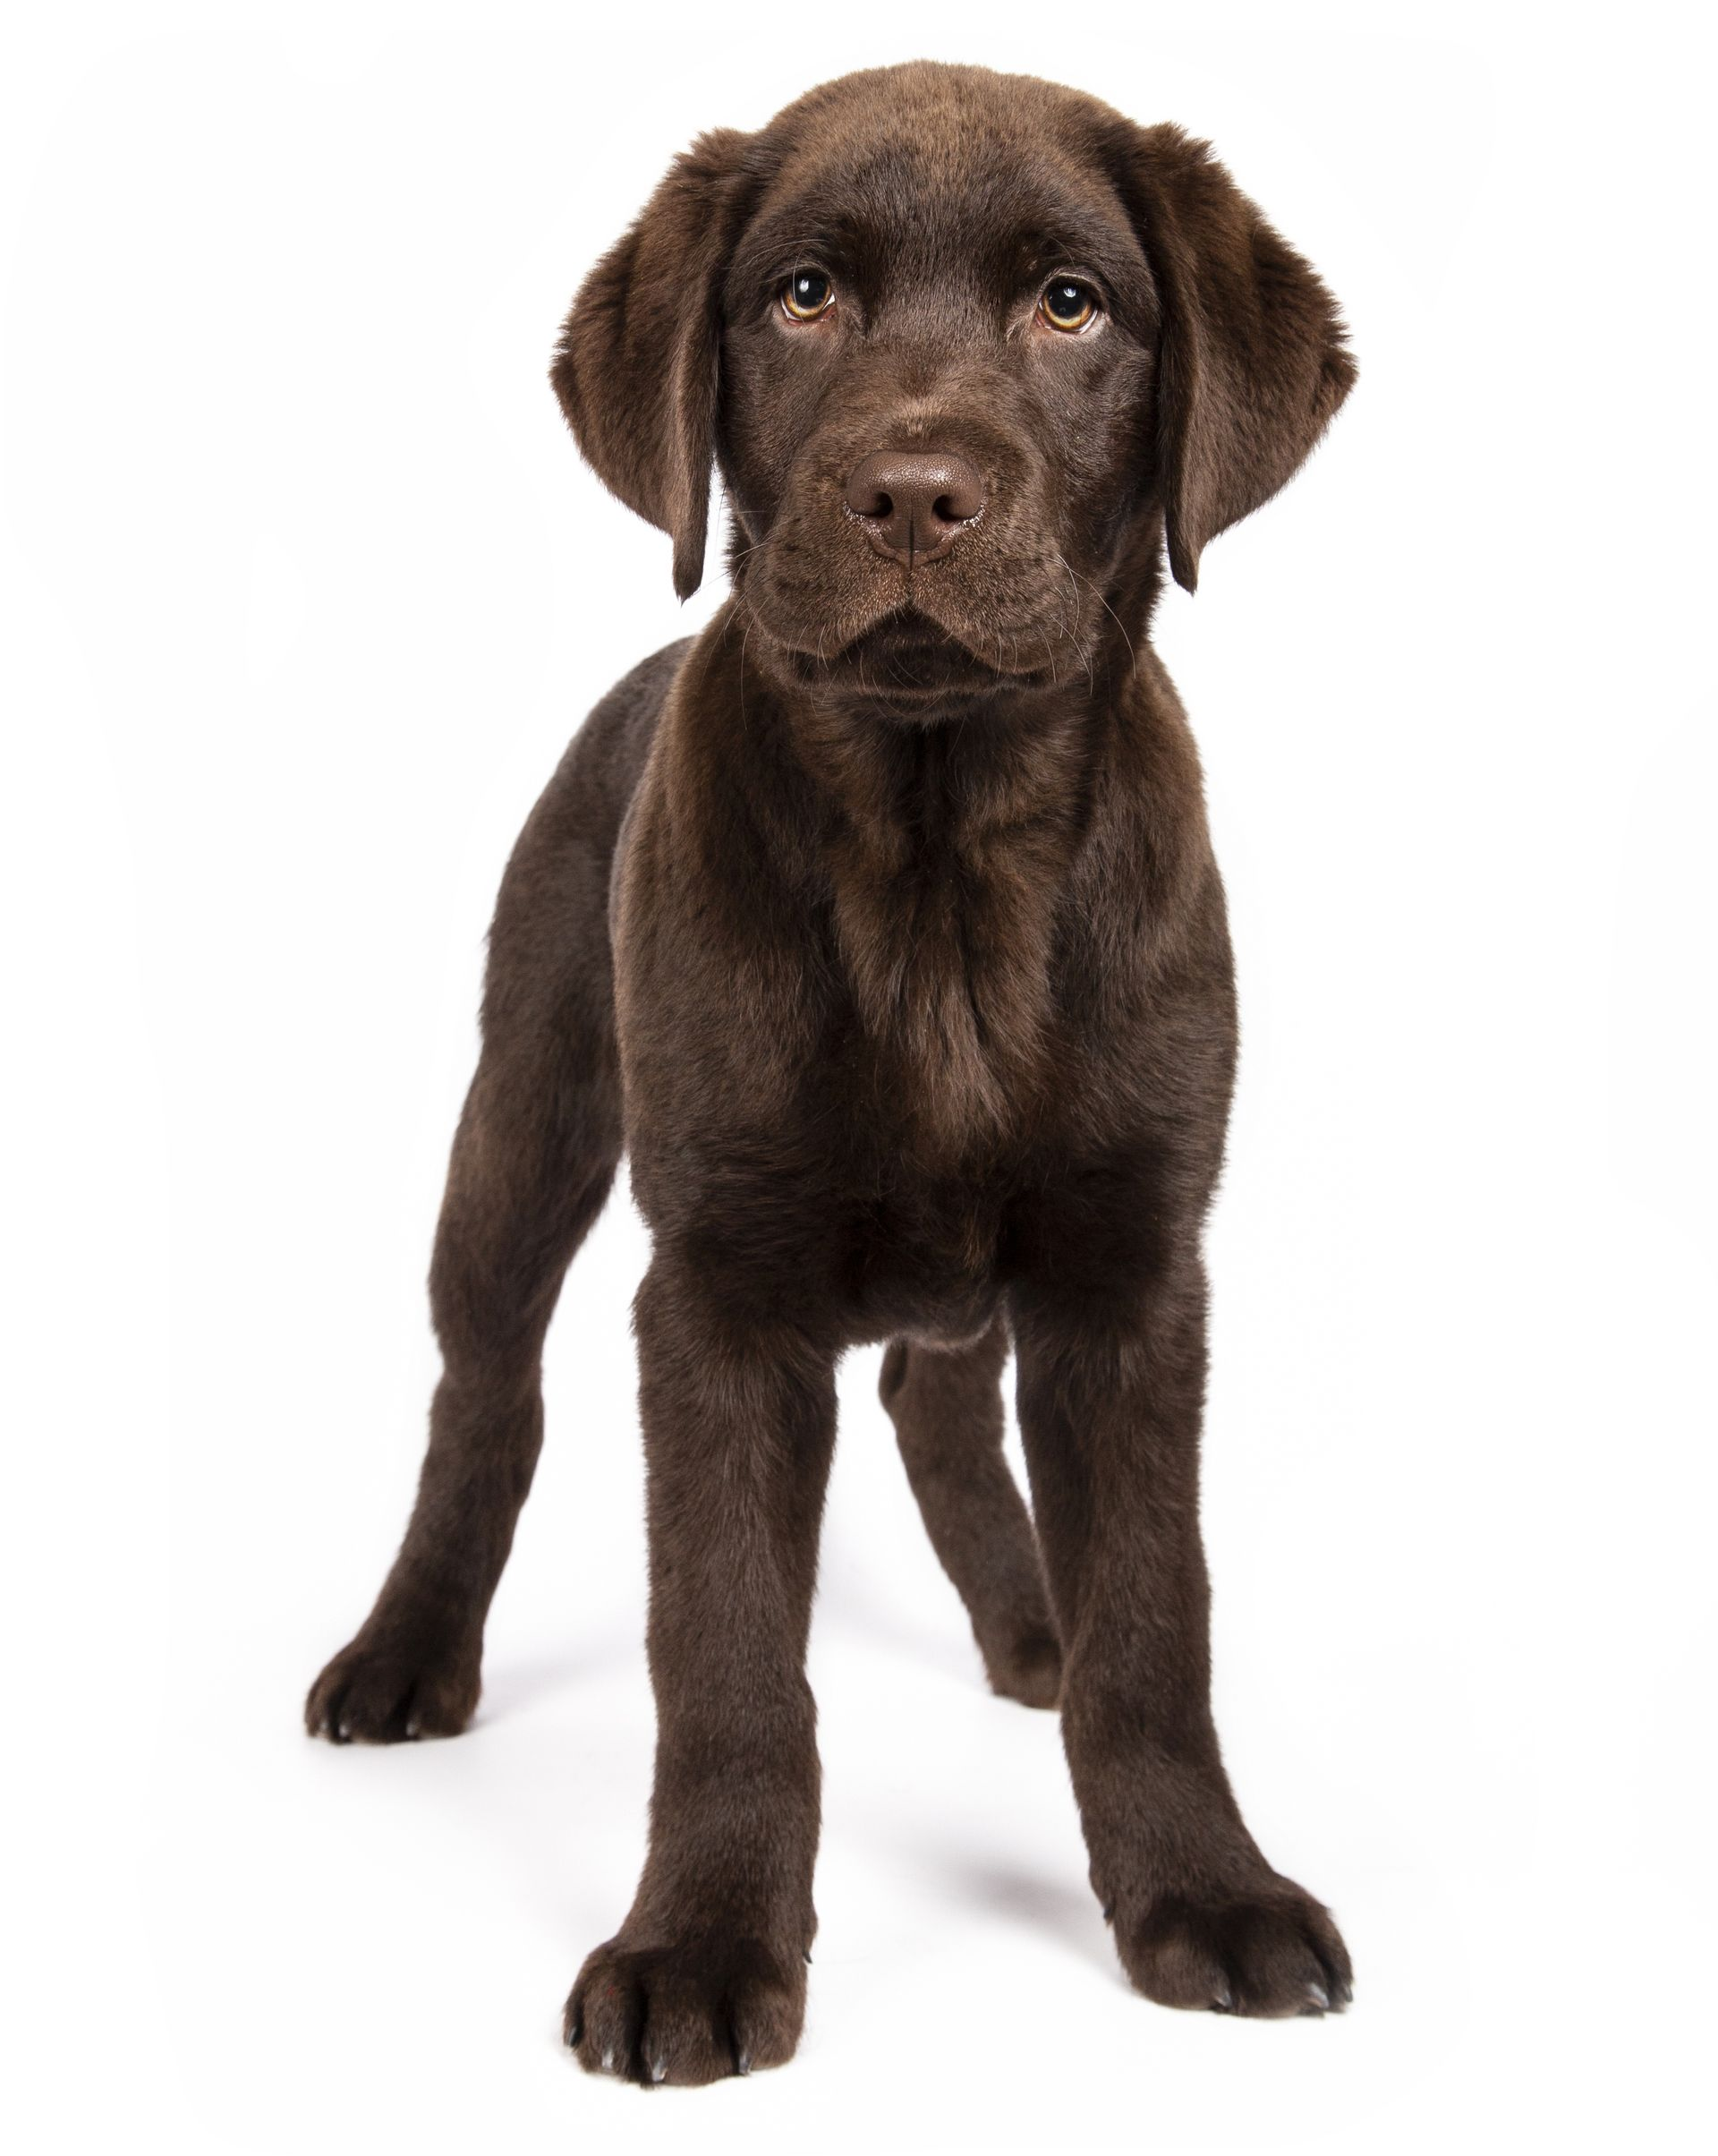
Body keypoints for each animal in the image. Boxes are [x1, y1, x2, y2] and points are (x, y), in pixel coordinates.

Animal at [306, 60, 1357, 2083]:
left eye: (1073, 304)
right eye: (801, 297)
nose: (917, 495)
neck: (938, 854)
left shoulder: (1135, 1270)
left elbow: (1158, 1623)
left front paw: (1203, 1890)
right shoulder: (714, 1288)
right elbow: (722, 1657)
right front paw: (701, 1943)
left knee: (938, 1396)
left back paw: (1029, 1622)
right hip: (526, 1113)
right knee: (485, 1394)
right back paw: (404, 1652)